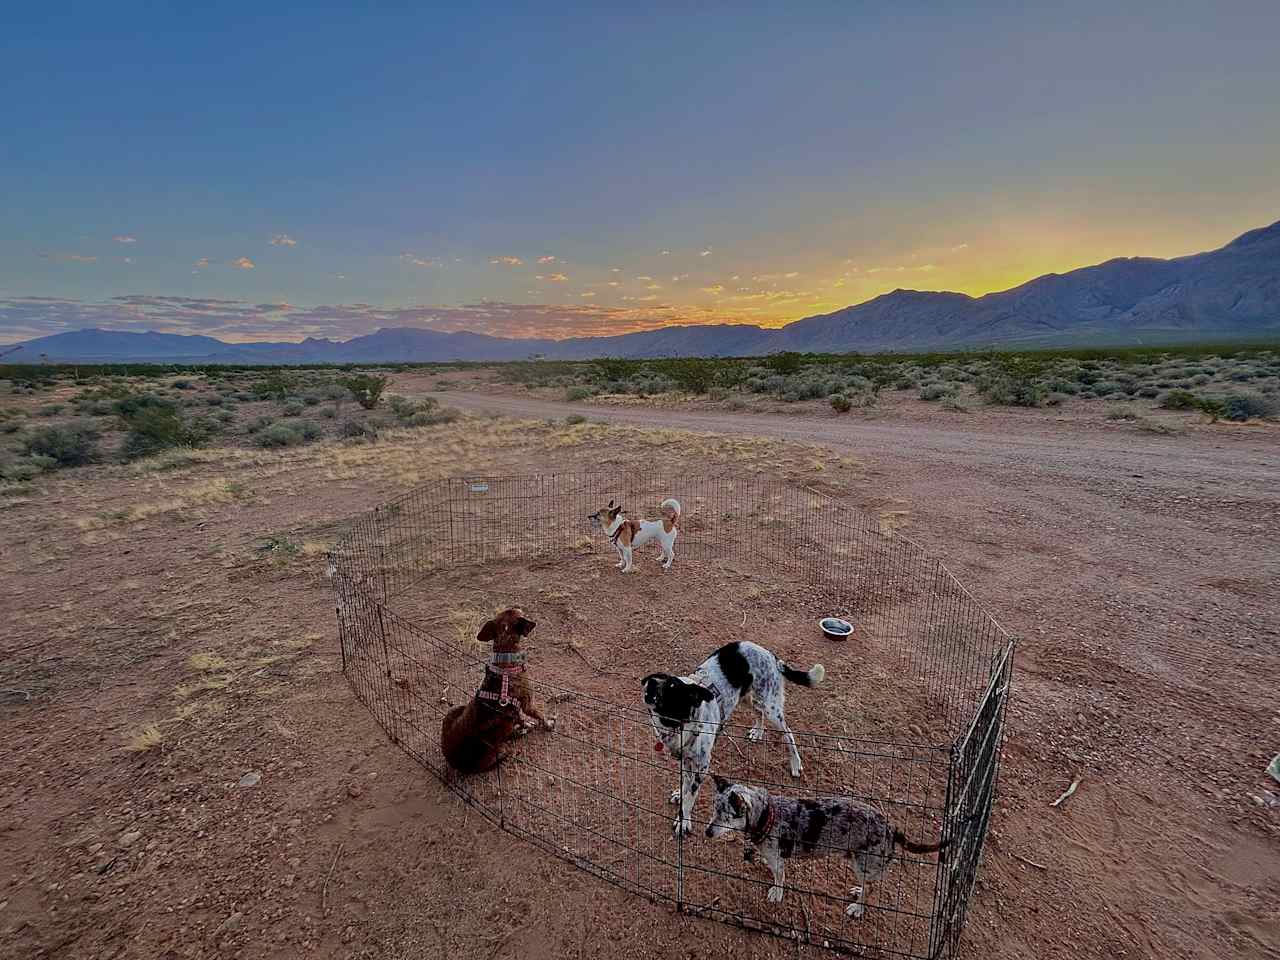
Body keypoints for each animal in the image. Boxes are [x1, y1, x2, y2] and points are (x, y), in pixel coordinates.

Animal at [437, 611, 552, 778]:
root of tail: (454, 765)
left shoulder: (516, 711)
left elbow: (521, 719)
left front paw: (525, 725)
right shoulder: (527, 703)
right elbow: (539, 715)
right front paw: (547, 724)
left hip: (454, 710)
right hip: (498, 750)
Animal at [640, 642, 829, 839]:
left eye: (671, 687)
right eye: (660, 679)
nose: (650, 682)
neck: (680, 724)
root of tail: (771, 655)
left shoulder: (701, 768)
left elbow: (691, 795)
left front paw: (683, 820)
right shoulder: (686, 760)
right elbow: (685, 785)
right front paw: (680, 795)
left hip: (771, 707)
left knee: (788, 733)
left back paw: (795, 763)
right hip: (747, 698)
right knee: (758, 713)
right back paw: (758, 732)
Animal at [706, 773, 957, 916]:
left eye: (726, 816)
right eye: (713, 809)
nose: (707, 832)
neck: (767, 814)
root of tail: (891, 828)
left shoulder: (777, 859)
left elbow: (779, 879)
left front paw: (776, 893)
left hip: (863, 864)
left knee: (872, 888)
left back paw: (857, 908)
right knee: (869, 884)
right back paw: (858, 891)